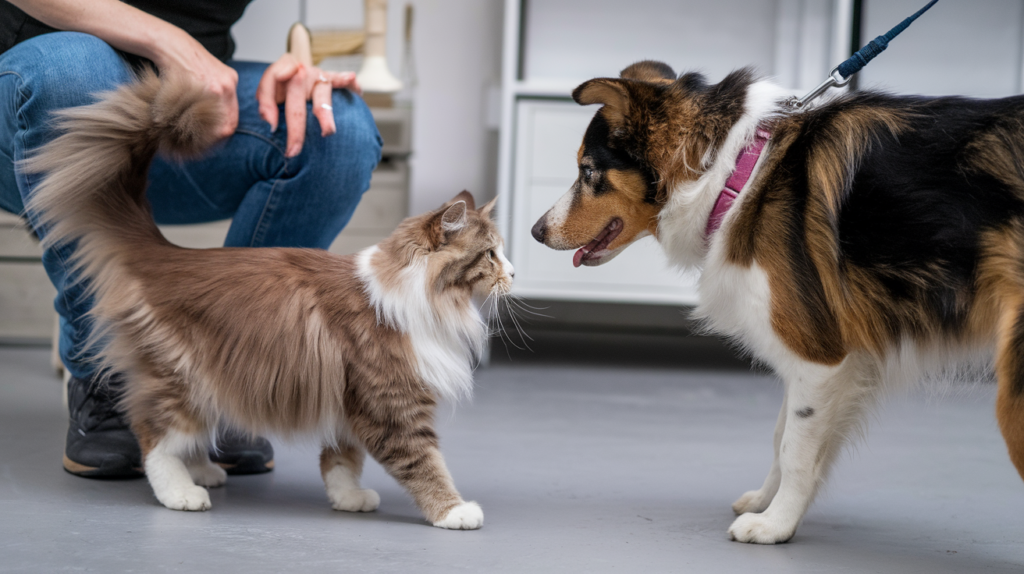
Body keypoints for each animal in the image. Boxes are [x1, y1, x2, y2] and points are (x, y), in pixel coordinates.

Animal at [532, 60, 1024, 544]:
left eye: (588, 172)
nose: (536, 231)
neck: (734, 173)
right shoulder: (815, 354)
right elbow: (783, 436)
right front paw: (767, 502)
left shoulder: (819, 358)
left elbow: (795, 450)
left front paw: (776, 524)